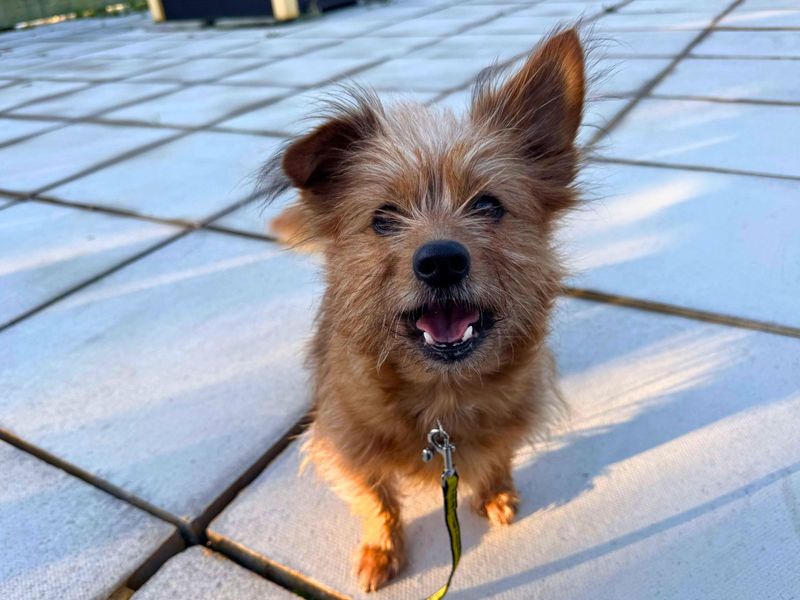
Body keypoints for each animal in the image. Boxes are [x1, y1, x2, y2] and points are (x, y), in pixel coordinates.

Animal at [262, 27, 588, 592]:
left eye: (488, 205)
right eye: (383, 218)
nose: (440, 262)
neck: (442, 399)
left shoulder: (517, 412)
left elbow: (499, 453)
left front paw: (495, 491)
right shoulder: (344, 443)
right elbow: (375, 498)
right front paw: (381, 548)